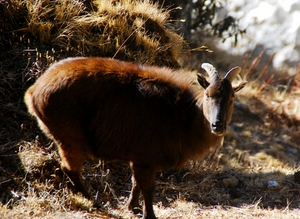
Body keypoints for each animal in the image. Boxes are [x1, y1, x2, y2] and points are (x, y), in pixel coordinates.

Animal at [24, 57, 246, 219]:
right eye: (208, 95)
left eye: (231, 97)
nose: (217, 125)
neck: (183, 114)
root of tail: (34, 91)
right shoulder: (146, 157)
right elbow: (147, 187)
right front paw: (149, 214)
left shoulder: (140, 158)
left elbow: (135, 183)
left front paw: (133, 207)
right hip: (71, 138)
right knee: (70, 169)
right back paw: (96, 202)